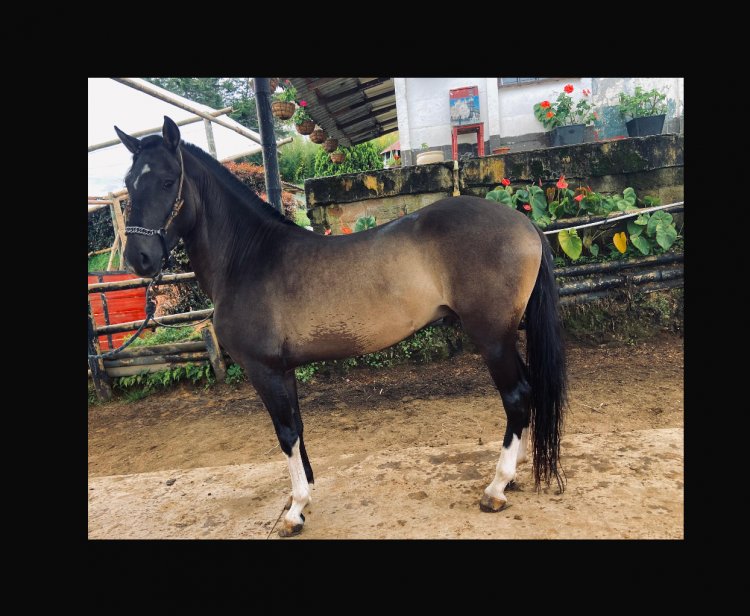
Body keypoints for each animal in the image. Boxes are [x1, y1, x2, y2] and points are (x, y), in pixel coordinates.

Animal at [114, 116, 568, 537]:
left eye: (168, 180)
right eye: (129, 184)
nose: (139, 258)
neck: (248, 258)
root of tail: (525, 224)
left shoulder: (264, 370)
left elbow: (284, 431)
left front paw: (295, 510)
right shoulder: (283, 371)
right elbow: (297, 427)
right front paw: (305, 494)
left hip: (493, 339)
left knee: (516, 396)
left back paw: (496, 488)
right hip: (505, 337)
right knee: (527, 392)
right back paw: (515, 471)